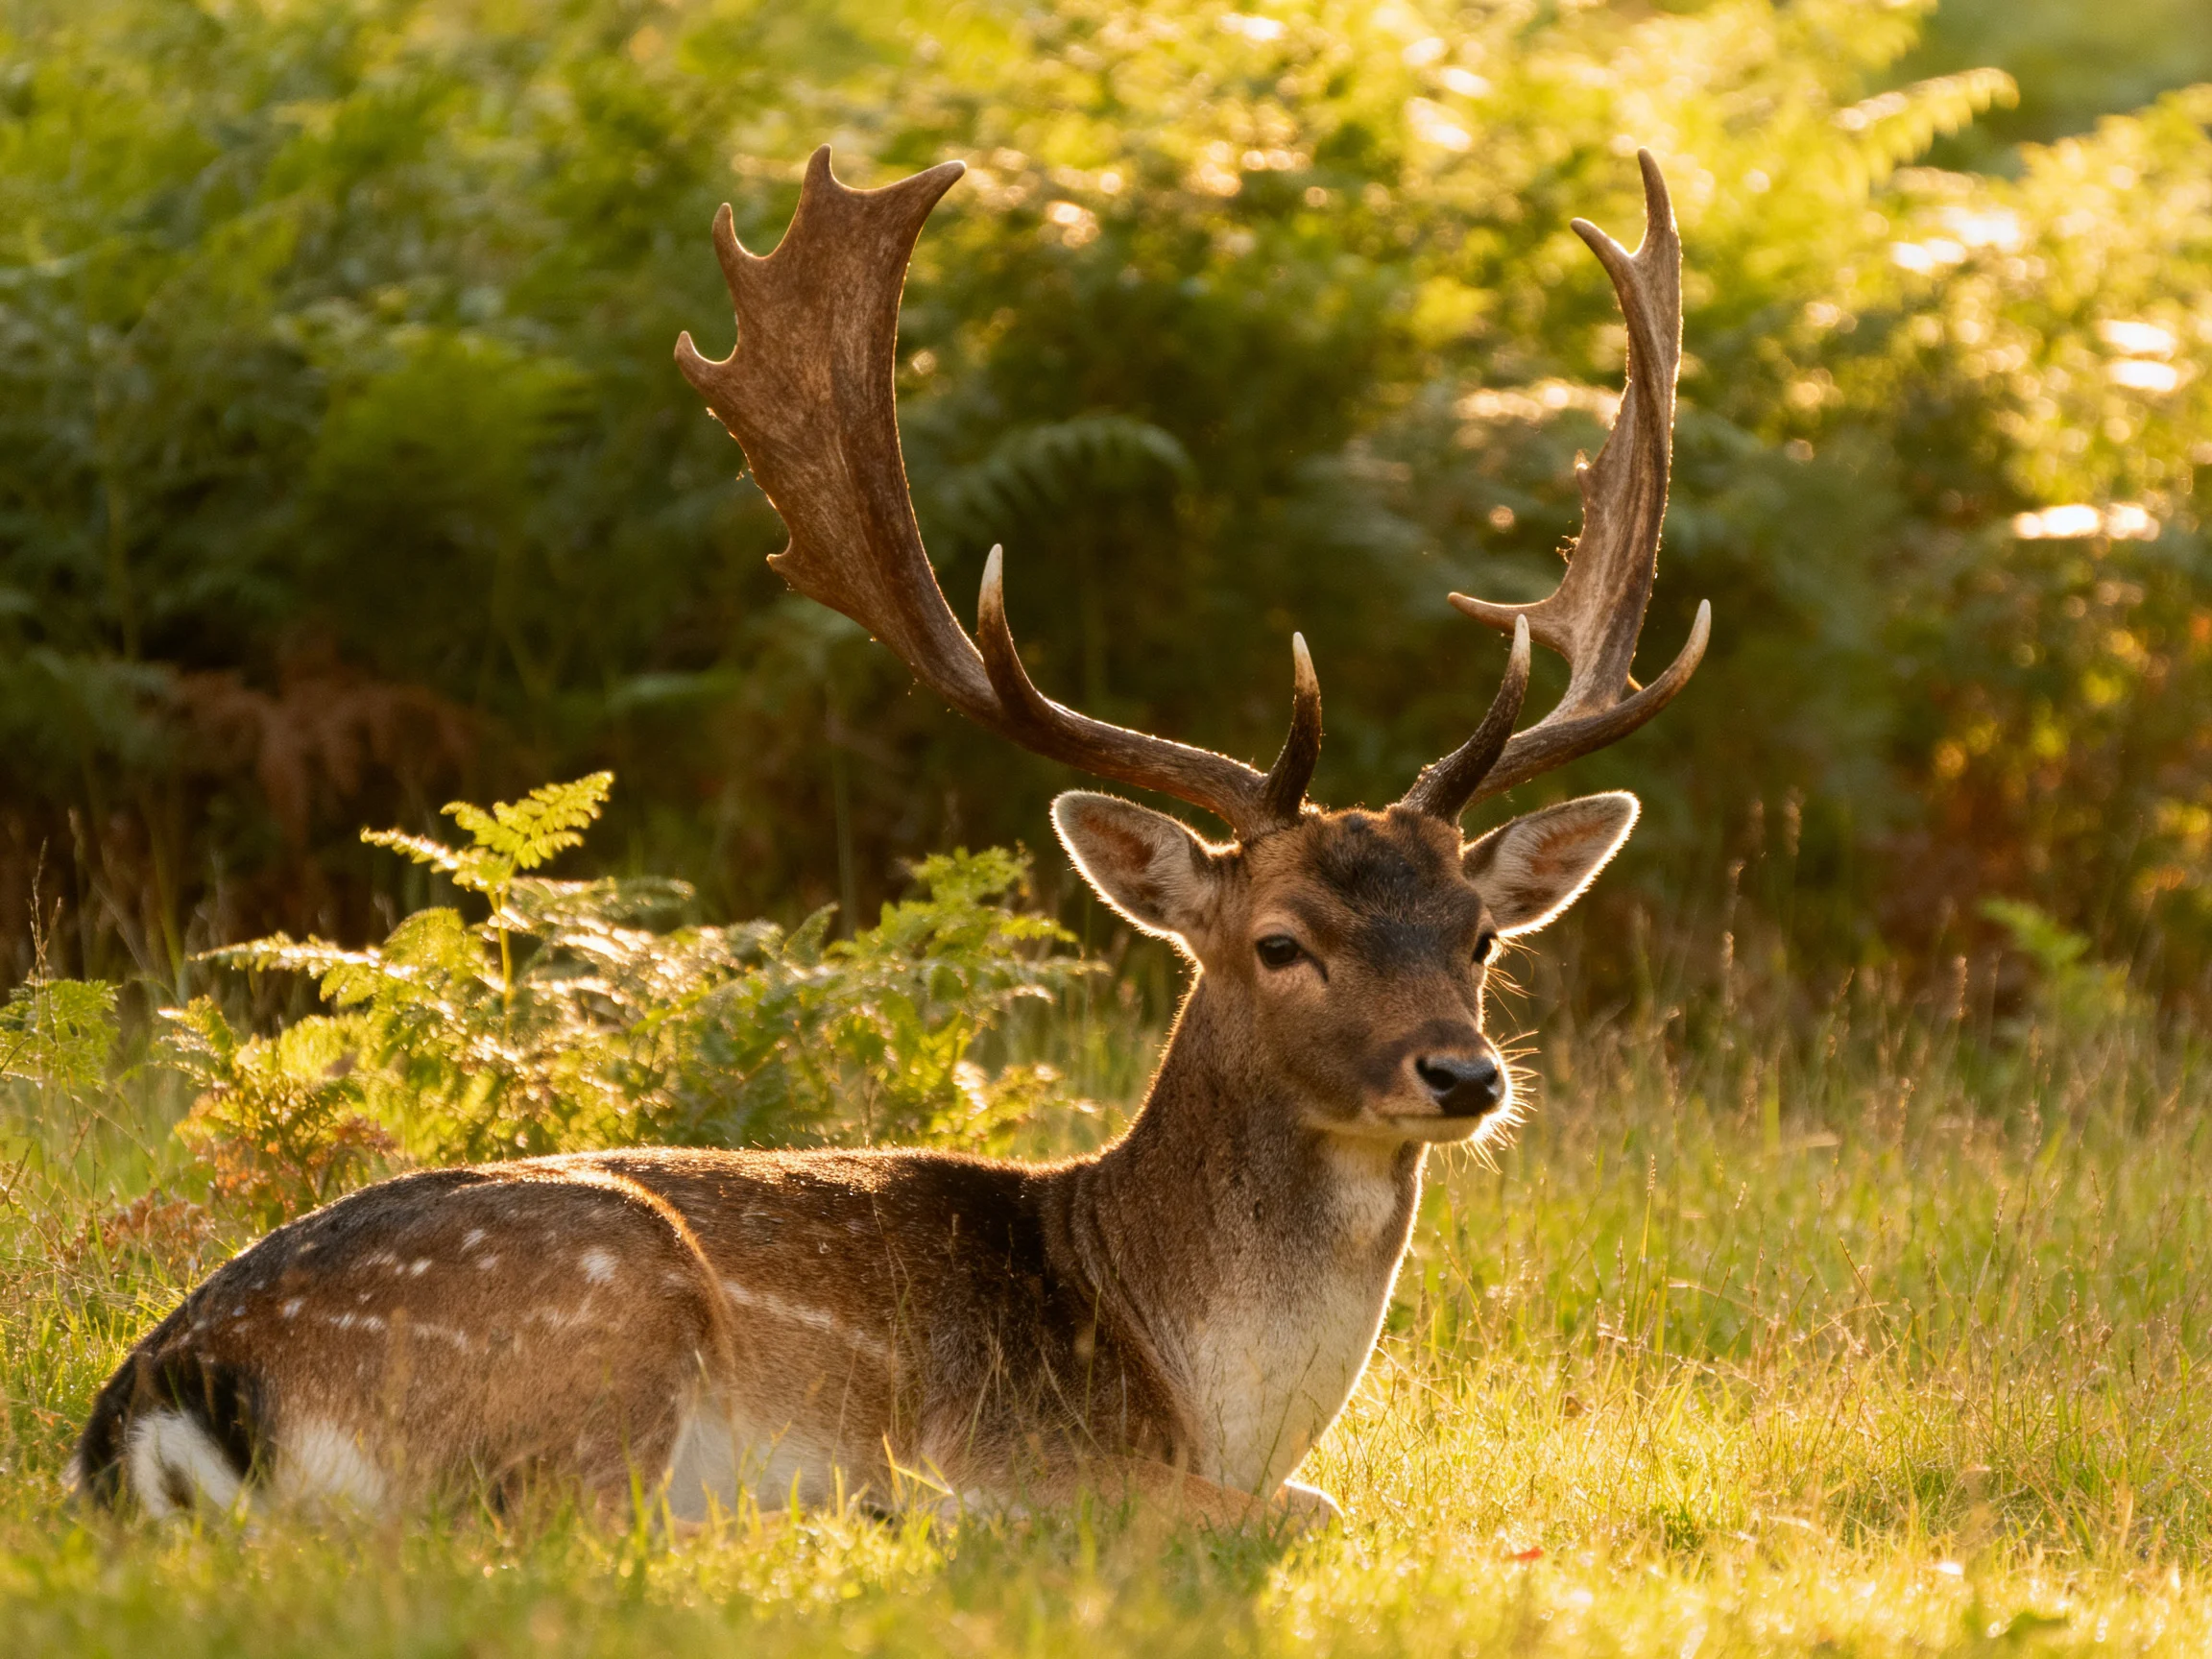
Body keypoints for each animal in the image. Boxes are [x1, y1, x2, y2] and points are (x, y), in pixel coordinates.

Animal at [74, 148, 1706, 1529]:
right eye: (1281, 941)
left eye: (1479, 936)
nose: (1463, 1074)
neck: (1196, 1390)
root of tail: (167, 1398)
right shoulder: (1033, 1454)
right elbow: (1305, 1509)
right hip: (605, 1323)